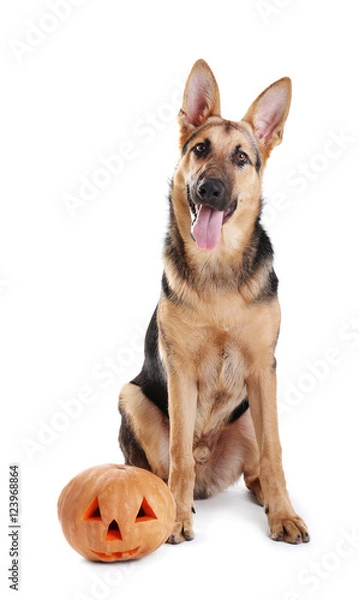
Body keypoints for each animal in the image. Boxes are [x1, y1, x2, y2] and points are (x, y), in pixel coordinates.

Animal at [118, 59, 310, 544]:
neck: (218, 266)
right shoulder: (180, 370)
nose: (210, 190)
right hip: (131, 396)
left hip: (250, 415)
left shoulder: (263, 370)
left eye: (241, 157)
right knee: (163, 466)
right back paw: (167, 499)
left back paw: (267, 498)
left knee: (258, 467)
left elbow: (276, 453)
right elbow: (179, 452)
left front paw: (284, 514)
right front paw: (176, 519)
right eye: (201, 149)